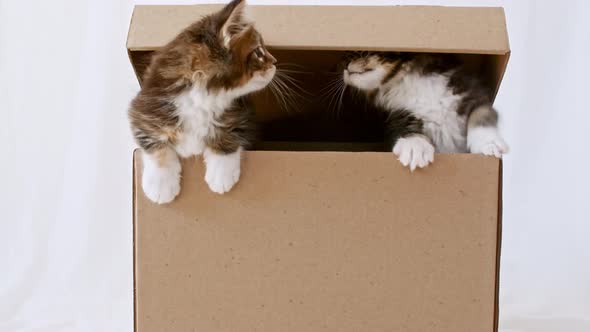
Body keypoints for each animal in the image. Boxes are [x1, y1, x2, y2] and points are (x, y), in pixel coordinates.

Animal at [128, 0, 276, 204]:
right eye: (258, 52)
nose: (275, 62)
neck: (201, 100)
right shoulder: (143, 109)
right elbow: (155, 143)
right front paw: (160, 186)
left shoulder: (243, 114)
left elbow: (229, 133)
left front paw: (221, 175)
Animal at [344, 52, 512, 170]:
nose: (345, 66)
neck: (407, 78)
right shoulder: (395, 114)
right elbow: (405, 126)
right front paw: (414, 146)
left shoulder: (474, 93)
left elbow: (480, 114)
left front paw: (488, 143)